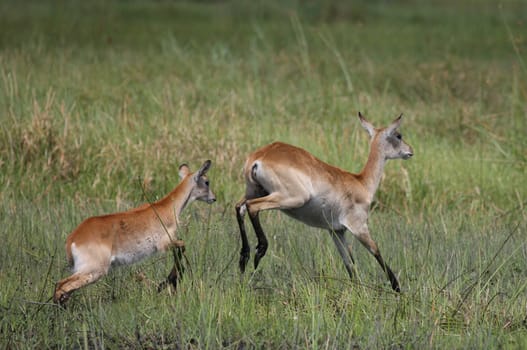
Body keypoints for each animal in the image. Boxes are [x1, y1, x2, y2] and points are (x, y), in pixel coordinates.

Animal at [54, 160, 217, 304]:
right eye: (207, 182)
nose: (214, 198)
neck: (168, 208)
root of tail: (73, 239)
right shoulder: (164, 244)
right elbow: (182, 245)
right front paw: (167, 282)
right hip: (94, 270)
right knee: (61, 286)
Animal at [237, 113, 414, 292]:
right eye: (398, 135)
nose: (410, 151)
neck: (361, 183)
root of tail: (260, 156)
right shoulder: (358, 227)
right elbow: (375, 251)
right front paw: (397, 288)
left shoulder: (336, 231)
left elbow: (349, 264)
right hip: (289, 198)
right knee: (252, 207)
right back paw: (259, 252)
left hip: (254, 191)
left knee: (239, 207)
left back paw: (244, 258)